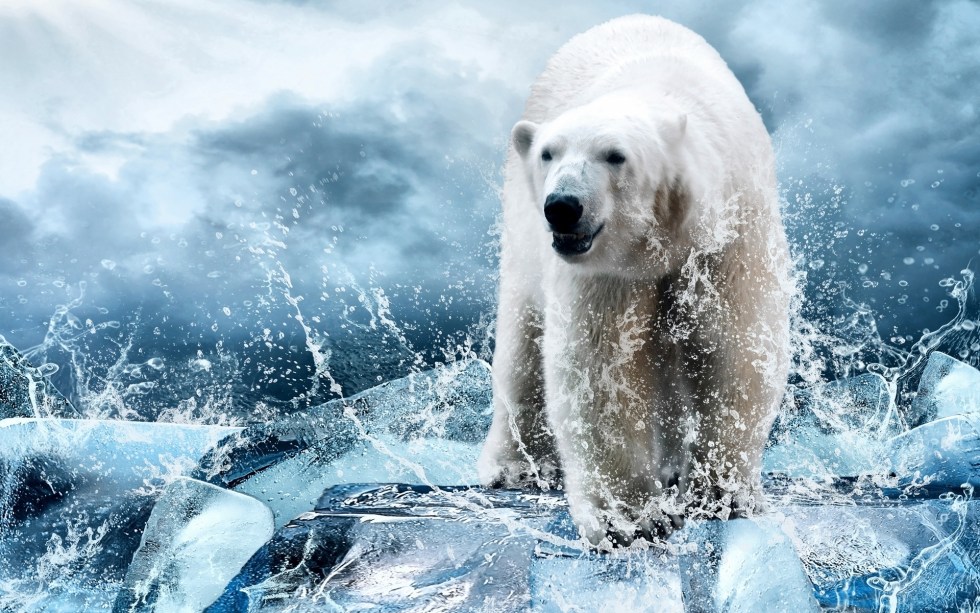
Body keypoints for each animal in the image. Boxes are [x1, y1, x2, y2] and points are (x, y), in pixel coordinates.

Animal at [477, 14, 792, 549]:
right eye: (548, 153)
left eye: (615, 155)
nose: (563, 206)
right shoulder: (607, 271)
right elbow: (601, 367)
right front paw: (630, 519)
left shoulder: (730, 234)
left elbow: (736, 347)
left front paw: (720, 495)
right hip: (522, 235)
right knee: (523, 344)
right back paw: (517, 466)